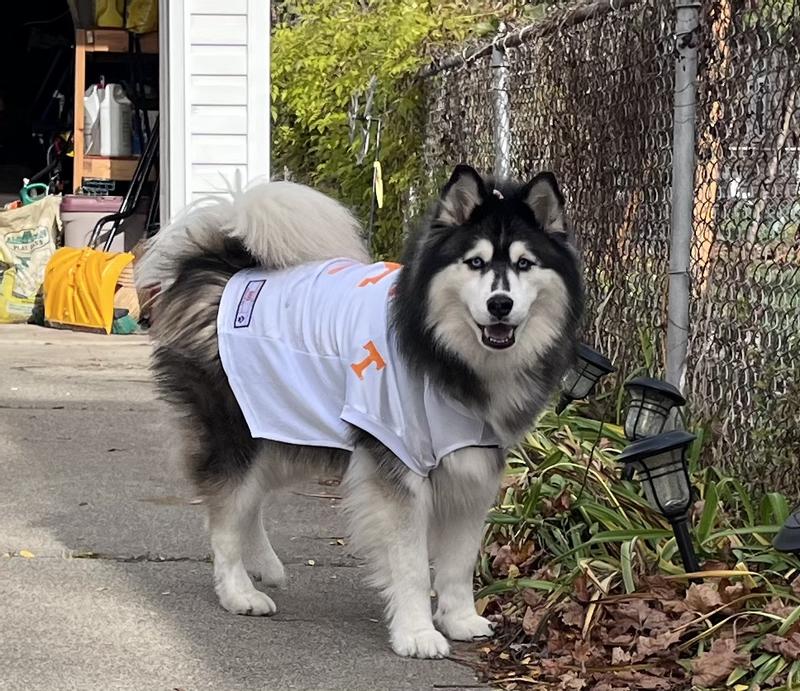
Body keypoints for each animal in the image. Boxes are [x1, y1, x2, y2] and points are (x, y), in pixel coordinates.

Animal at [138, 166, 584, 660]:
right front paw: (417, 632)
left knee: (248, 501)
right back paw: (237, 591)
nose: (499, 304)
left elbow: (459, 559)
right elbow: (411, 563)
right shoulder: (401, 466)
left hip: (286, 432)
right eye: (475, 263)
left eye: (525, 264)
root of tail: (223, 269)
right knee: (224, 513)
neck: (444, 351)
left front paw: (460, 619)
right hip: (240, 435)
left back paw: (264, 565)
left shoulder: (474, 466)